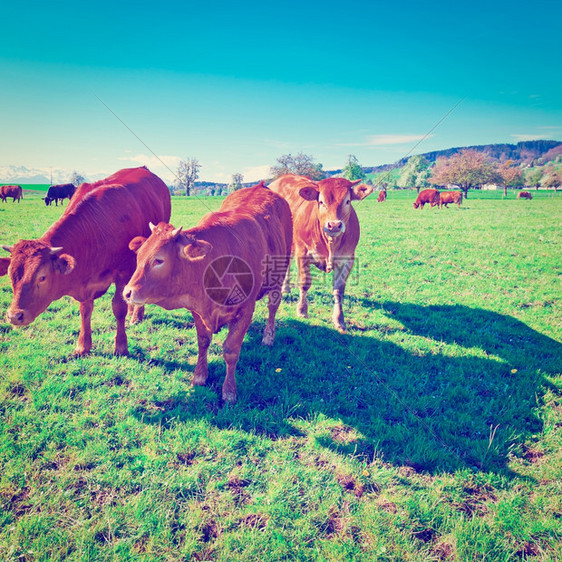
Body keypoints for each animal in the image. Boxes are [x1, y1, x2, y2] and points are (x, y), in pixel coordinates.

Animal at [0, 166, 171, 354]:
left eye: (42, 277)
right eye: (11, 276)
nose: (14, 315)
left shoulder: (123, 272)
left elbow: (119, 308)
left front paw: (120, 346)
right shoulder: (84, 281)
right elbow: (85, 310)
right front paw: (83, 346)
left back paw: (136, 316)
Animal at [123, 182, 294, 400]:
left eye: (158, 260)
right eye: (139, 256)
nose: (127, 292)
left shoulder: (246, 310)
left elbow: (231, 350)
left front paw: (229, 391)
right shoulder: (197, 310)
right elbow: (203, 342)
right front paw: (199, 376)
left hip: (279, 276)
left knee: (273, 307)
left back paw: (268, 336)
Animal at [266, 173, 372, 330]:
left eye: (347, 201)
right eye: (321, 202)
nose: (334, 225)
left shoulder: (347, 259)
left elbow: (339, 290)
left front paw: (339, 319)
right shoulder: (302, 252)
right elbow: (305, 283)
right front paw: (302, 310)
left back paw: (285, 287)